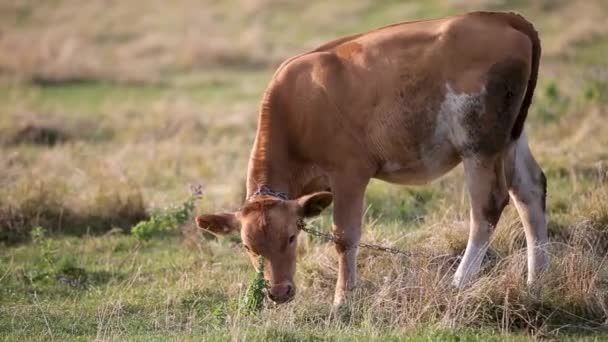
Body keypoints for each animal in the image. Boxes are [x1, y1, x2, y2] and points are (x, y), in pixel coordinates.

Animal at [197, 10, 548, 306]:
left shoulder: (349, 173)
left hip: (479, 144)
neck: (295, 109)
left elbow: (344, 237)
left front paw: (343, 300)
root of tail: (500, 17)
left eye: (292, 237)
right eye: (248, 247)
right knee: (530, 191)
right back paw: (537, 281)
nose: (279, 292)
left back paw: (459, 282)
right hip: (511, 137)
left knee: (487, 207)